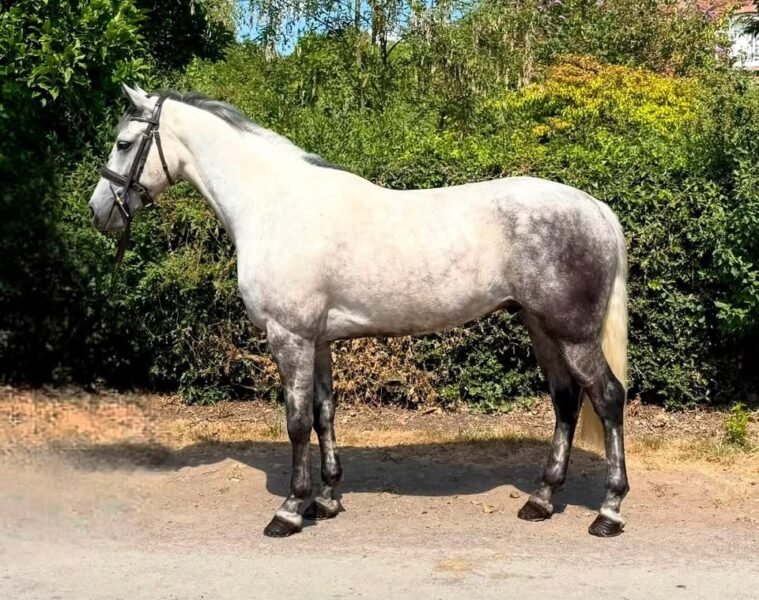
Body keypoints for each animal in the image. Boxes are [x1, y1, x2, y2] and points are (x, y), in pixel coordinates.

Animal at [89, 85, 630, 539]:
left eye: (123, 142)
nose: (98, 212)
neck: (275, 206)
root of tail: (596, 209)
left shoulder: (289, 337)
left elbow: (296, 422)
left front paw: (290, 510)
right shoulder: (318, 341)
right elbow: (324, 414)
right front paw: (326, 500)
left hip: (572, 333)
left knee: (606, 397)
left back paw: (608, 511)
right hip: (541, 327)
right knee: (565, 401)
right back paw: (541, 500)